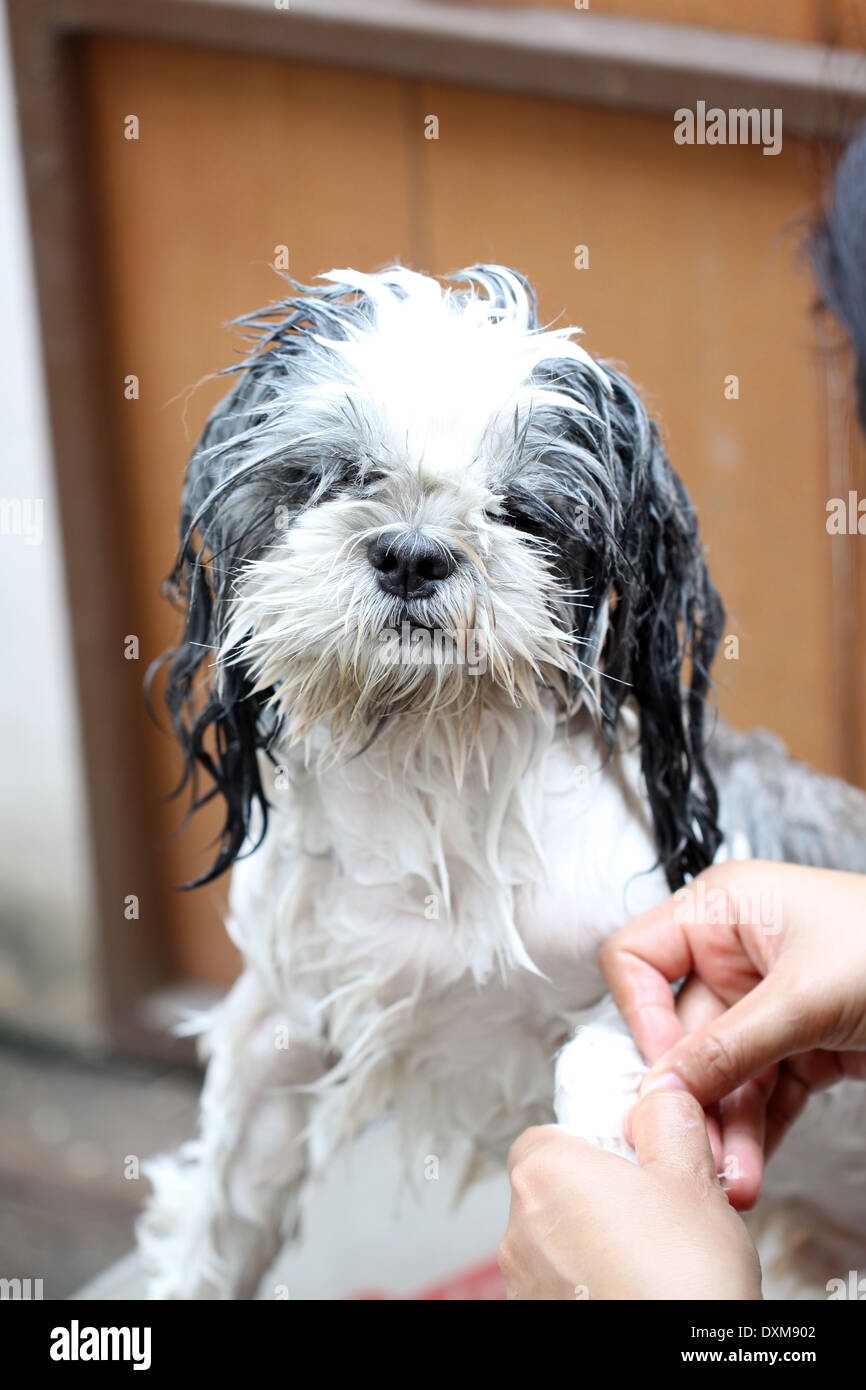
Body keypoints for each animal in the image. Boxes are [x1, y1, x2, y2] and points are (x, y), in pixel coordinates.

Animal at [140, 261, 866, 1301]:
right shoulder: (283, 1028)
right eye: (331, 476)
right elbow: (216, 1222)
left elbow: (593, 1060)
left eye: (524, 510)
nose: (412, 552)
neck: (431, 767)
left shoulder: (660, 970)